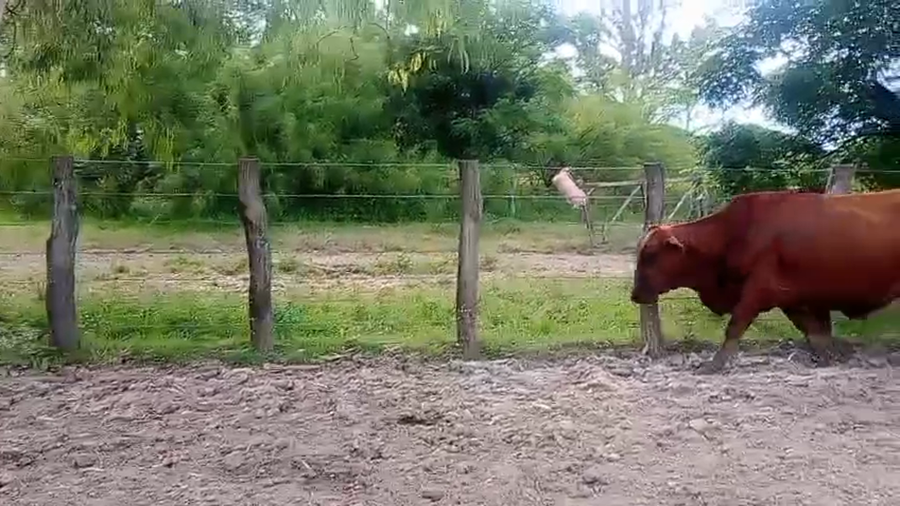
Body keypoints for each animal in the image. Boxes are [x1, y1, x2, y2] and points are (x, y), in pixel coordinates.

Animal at [630, 188, 900, 374]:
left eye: (650, 255)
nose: (635, 295)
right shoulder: (793, 298)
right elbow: (815, 332)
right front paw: (829, 358)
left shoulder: (759, 289)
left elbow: (735, 325)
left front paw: (716, 363)